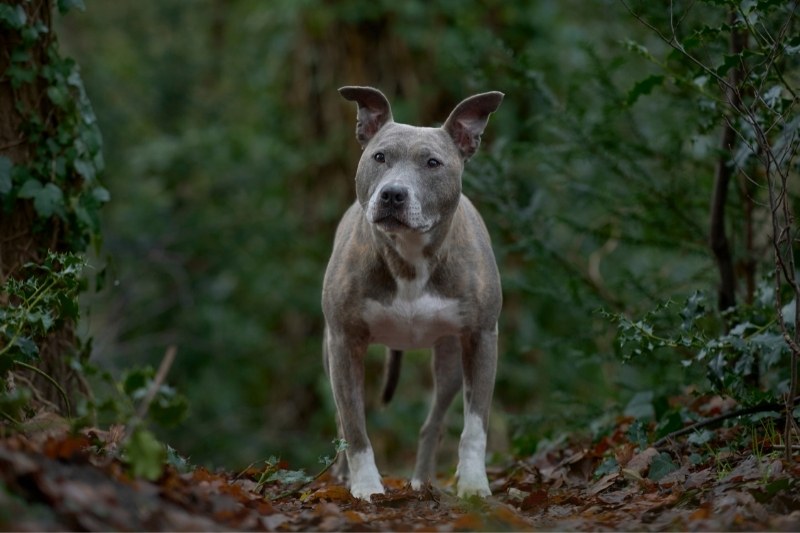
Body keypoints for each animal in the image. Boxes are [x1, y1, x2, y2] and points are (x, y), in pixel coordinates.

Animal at [320, 85, 500, 500]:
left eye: (433, 163)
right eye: (379, 157)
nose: (393, 194)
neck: (411, 256)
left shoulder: (482, 338)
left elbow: (475, 425)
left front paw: (474, 485)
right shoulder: (343, 341)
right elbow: (354, 425)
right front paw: (367, 486)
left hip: (450, 361)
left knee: (433, 423)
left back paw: (422, 482)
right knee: (341, 419)